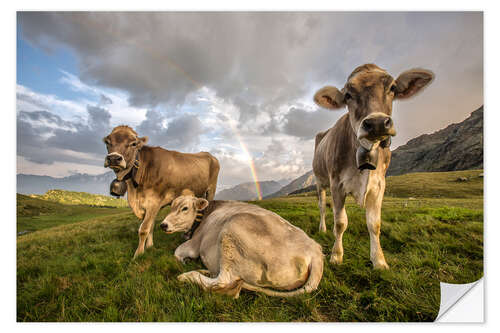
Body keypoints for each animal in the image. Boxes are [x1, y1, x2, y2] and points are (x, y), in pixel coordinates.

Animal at [103, 124, 219, 256]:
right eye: (107, 142)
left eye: (133, 143)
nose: (113, 158)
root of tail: (208, 154)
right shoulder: (148, 205)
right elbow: (151, 226)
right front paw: (149, 247)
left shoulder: (154, 202)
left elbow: (144, 229)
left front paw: (138, 254)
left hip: (211, 190)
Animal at [160, 195, 324, 296]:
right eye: (171, 207)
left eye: (185, 208)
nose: (163, 224)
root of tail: (315, 250)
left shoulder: (194, 243)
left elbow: (177, 252)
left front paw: (185, 260)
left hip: (232, 229)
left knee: (223, 281)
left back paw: (187, 276)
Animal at [312, 63, 434, 268]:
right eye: (347, 95)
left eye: (392, 87)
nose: (377, 123)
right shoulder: (337, 184)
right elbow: (340, 222)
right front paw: (336, 255)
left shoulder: (379, 185)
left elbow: (374, 224)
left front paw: (379, 260)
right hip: (320, 181)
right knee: (322, 206)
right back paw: (323, 228)